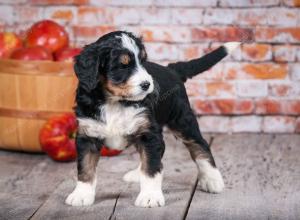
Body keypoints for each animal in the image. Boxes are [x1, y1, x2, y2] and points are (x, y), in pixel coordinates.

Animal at [65, 31, 239, 208]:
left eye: (143, 62)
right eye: (122, 66)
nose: (147, 84)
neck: (114, 102)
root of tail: (172, 69)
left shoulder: (148, 134)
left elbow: (151, 167)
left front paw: (150, 197)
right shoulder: (87, 135)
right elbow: (85, 167)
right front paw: (81, 194)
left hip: (182, 120)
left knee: (200, 145)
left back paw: (212, 180)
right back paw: (136, 174)